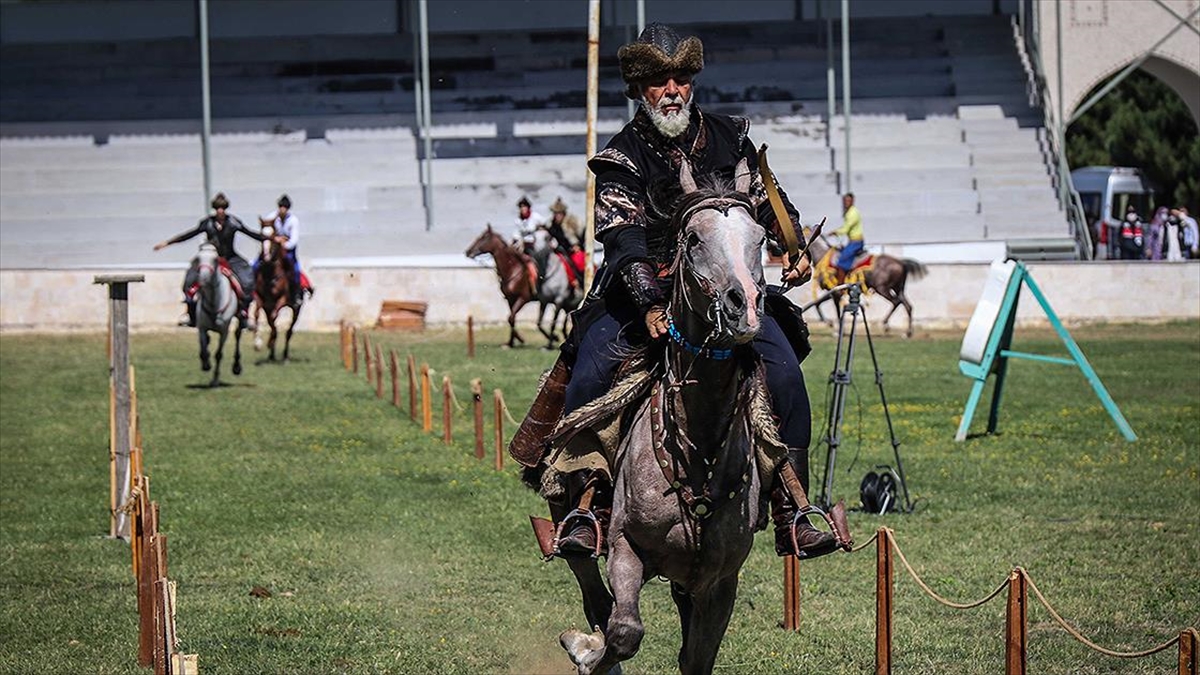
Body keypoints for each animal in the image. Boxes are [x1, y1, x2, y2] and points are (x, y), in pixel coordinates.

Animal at [194, 242, 243, 386]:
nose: (203, 279)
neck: (214, 302)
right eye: (197, 258)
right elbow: (204, 349)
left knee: (238, 335)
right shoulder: (202, 327)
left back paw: (236, 367)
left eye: (215, 260)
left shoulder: (224, 331)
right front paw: (206, 364)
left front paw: (215, 380)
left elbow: (218, 354)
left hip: (240, 318)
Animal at [250, 224, 300, 362]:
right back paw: (271, 355)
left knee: (289, 331)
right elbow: (258, 315)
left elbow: (274, 319)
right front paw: (258, 343)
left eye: (273, 238)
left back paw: (285, 356)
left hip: (296, 309)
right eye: (260, 236)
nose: (266, 257)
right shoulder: (260, 300)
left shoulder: (282, 299)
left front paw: (267, 342)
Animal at [556, 158, 772, 672]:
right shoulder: (625, 549)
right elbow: (623, 631)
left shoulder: (720, 581)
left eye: (760, 237)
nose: (745, 306)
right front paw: (588, 651)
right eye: (693, 238)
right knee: (588, 579)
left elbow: (696, 658)